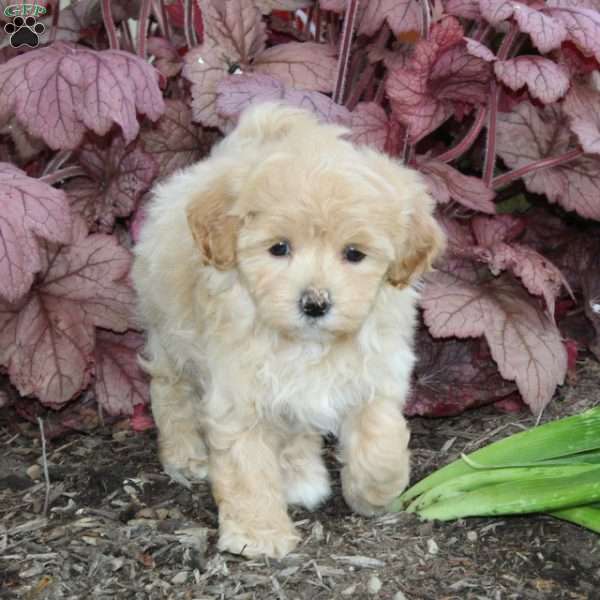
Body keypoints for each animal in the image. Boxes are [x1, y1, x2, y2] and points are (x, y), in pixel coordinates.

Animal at [134, 102, 448, 556]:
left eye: (354, 253)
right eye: (279, 248)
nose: (315, 303)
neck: (307, 345)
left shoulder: (377, 372)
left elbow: (380, 435)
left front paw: (376, 490)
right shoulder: (238, 392)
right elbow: (246, 464)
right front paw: (258, 534)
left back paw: (302, 476)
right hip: (170, 330)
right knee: (170, 390)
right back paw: (185, 454)